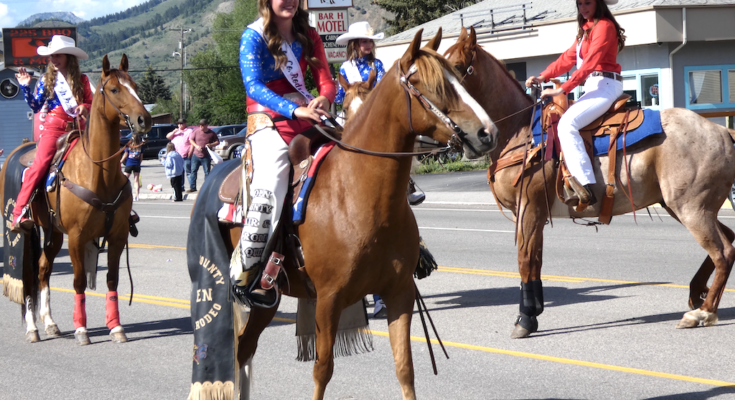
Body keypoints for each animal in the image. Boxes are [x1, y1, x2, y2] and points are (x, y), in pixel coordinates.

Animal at [0, 54, 151, 345]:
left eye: (136, 85)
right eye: (114, 89)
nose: (144, 119)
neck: (98, 172)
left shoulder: (117, 235)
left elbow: (112, 280)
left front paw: (116, 327)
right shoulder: (77, 237)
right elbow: (79, 281)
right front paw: (82, 330)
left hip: (53, 232)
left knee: (43, 269)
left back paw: (49, 323)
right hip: (26, 231)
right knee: (26, 275)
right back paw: (32, 329)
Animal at [199, 29, 497, 400]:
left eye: (460, 77)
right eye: (432, 87)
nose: (487, 132)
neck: (361, 195)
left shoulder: (399, 293)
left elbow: (405, 368)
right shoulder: (328, 300)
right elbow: (322, 370)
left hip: (269, 301)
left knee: (246, 348)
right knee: (240, 349)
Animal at [444, 26, 735, 338]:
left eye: (458, 67)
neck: (521, 132)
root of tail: (721, 131)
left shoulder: (529, 209)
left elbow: (526, 260)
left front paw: (525, 319)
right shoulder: (535, 214)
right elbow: (534, 261)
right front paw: (532, 313)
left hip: (692, 208)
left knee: (723, 252)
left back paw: (702, 313)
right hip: (687, 207)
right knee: (728, 239)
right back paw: (697, 295)